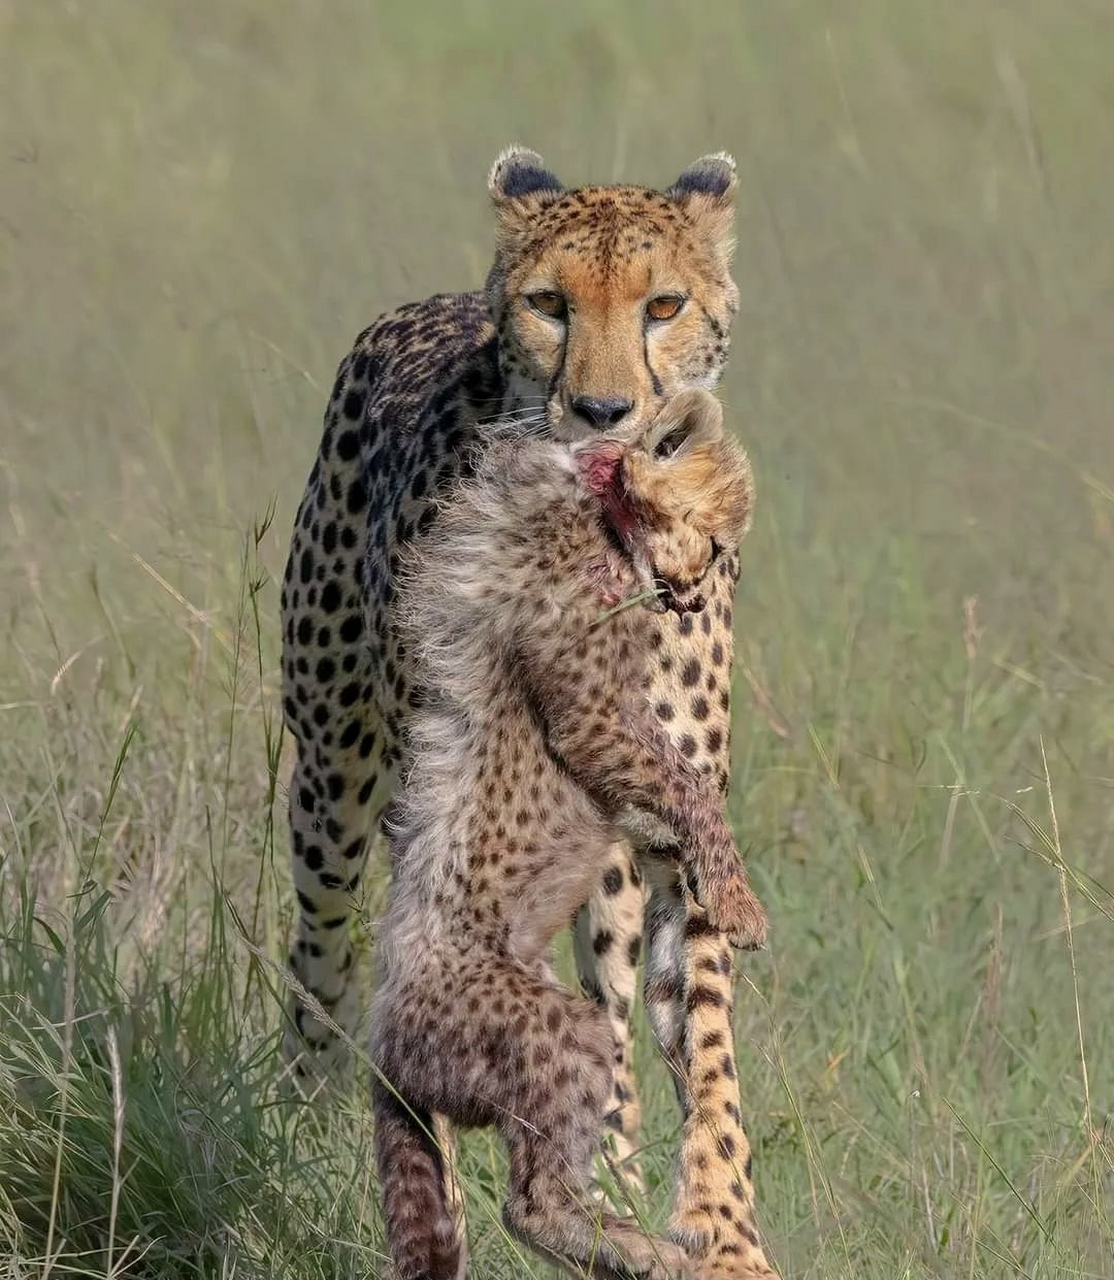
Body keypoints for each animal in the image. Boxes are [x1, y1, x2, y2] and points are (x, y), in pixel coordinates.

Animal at [373, 386, 768, 1280]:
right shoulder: (591, 715)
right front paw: (739, 900)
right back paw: (642, 1248)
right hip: (559, 1029)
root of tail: (381, 1043)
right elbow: (691, 788)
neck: (597, 497)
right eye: (717, 544)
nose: (694, 598)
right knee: (529, 1202)